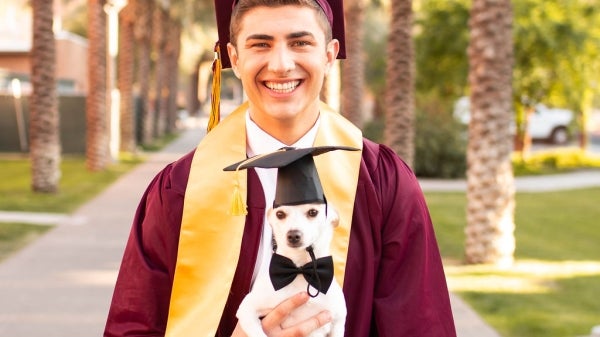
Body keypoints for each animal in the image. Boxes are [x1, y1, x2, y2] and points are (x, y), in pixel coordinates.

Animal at [236, 202, 346, 336]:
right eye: (280, 214)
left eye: (313, 212)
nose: (293, 235)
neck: (300, 271)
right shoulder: (246, 308)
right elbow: (258, 333)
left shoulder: (338, 321)